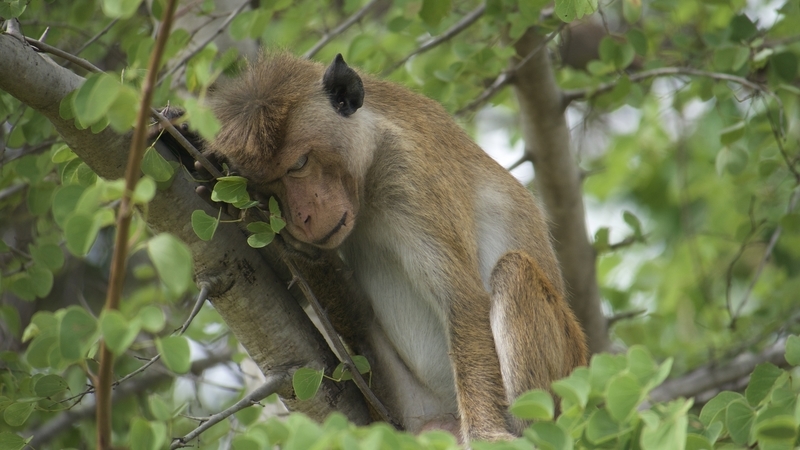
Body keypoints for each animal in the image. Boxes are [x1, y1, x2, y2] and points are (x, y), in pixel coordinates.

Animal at [200, 52, 588, 442]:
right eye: (265, 186)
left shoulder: (412, 177)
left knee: (513, 272)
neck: (369, 172)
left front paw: (485, 433)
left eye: (298, 164)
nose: (302, 217)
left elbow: (461, 299)